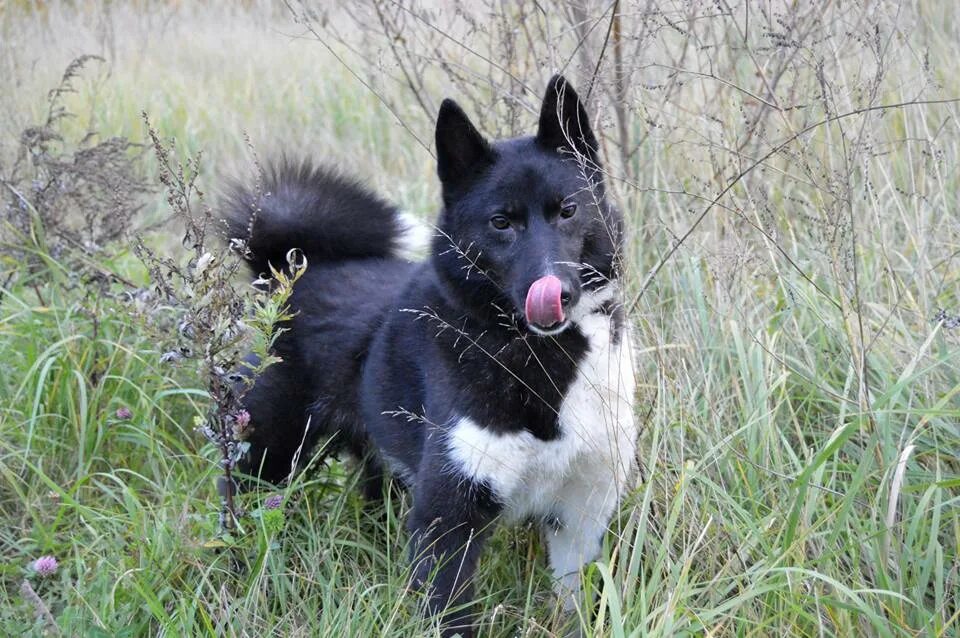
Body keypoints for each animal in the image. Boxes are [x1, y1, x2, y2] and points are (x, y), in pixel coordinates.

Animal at [225, 75, 636, 636]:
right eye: (501, 223)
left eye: (568, 210)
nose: (558, 293)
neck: (540, 357)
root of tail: (294, 273)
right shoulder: (449, 518)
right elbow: (449, 610)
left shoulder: (581, 513)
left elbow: (572, 602)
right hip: (266, 457)